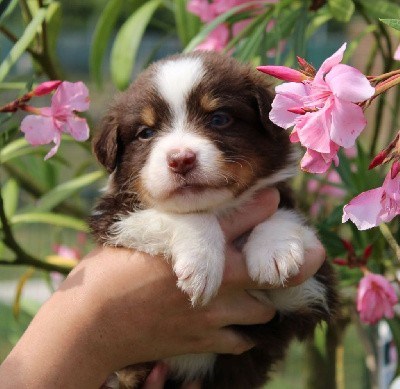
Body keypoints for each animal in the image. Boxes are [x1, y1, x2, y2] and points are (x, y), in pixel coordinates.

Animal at [90, 52, 338, 388]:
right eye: (146, 133)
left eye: (219, 119)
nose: (181, 159)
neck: (220, 208)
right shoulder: (112, 216)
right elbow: (188, 217)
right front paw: (202, 266)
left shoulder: (303, 301)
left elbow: (282, 216)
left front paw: (275, 252)